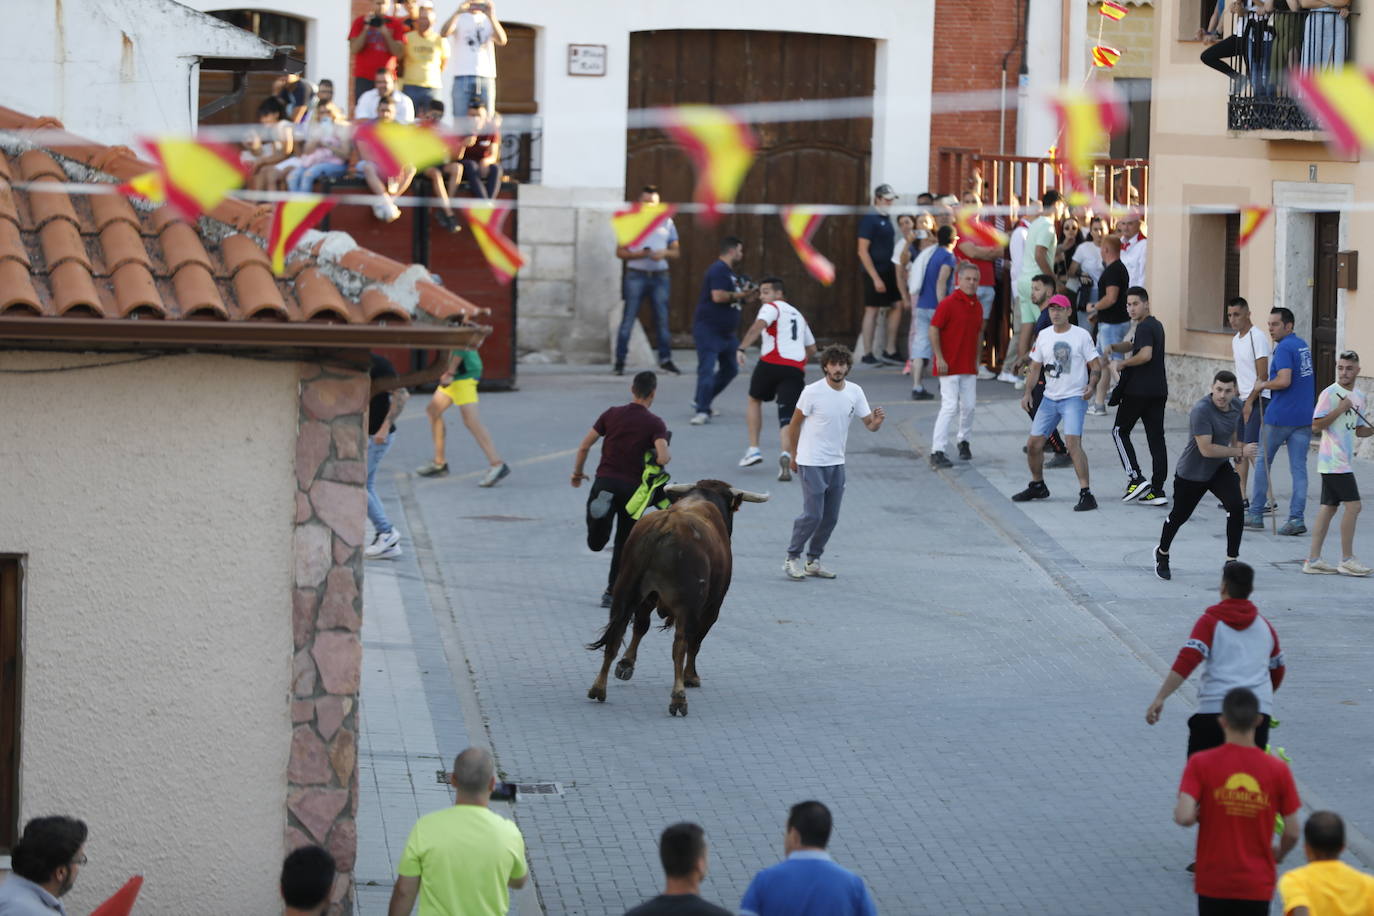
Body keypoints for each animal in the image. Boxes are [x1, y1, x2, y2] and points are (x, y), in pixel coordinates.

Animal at [585, 480, 769, 714]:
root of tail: (666, 525)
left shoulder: (649, 597)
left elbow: (640, 627)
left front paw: (626, 664)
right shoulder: (712, 607)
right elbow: (695, 642)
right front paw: (691, 676)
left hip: (625, 591)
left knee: (616, 634)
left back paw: (598, 688)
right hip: (688, 605)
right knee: (680, 644)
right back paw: (678, 698)